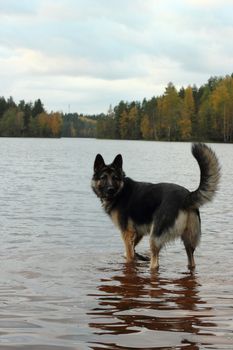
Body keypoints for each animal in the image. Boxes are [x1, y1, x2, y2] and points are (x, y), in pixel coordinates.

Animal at [91, 144, 220, 270]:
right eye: (103, 178)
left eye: (115, 178)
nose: (110, 190)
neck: (121, 191)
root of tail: (186, 196)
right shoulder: (138, 232)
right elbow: (130, 251)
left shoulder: (127, 233)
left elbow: (129, 255)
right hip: (188, 241)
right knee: (191, 262)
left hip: (154, 237)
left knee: (155, 264)